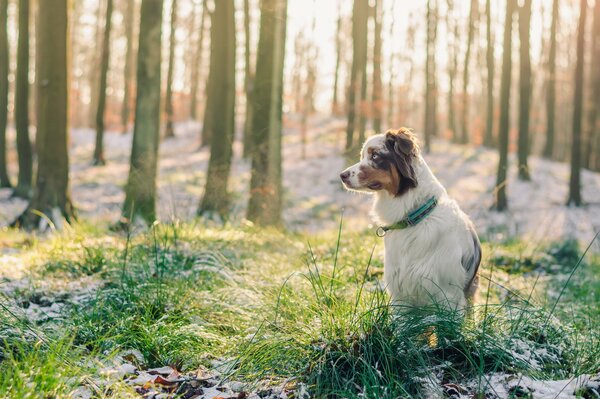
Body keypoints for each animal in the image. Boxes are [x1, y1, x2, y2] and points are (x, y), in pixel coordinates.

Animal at [340, 130, 480, 310]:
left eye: (375, 156)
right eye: (362, 156)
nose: (342, 175)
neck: (414, 218)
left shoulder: (448, 295)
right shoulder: (400, 293)